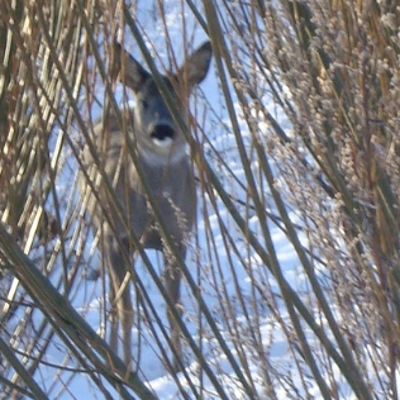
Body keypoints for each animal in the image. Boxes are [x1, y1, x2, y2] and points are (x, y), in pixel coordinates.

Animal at [79, 40, 214, 372]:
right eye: (143, 101)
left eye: (179, 97)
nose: (162, 129)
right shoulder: (115, 235)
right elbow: (125, 307)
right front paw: (127, 366)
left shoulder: (178, 238)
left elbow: (173, 304)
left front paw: (178, 365)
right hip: (99, 226)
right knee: (114, 298)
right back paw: (112, 353)